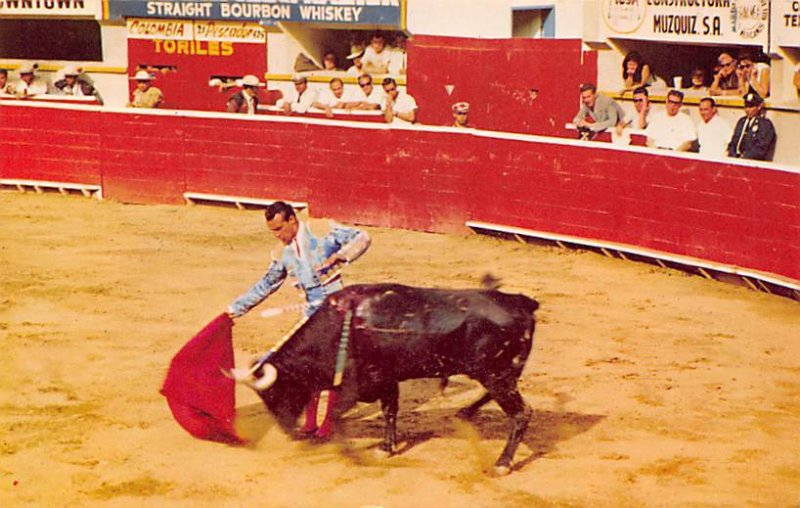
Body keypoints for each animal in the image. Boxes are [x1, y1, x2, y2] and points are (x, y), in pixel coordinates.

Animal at [252, 284, 536, 474]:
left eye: (276, 391)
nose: (287, 431)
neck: (337, 327)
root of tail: (522, 303)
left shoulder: (358, 385)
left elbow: (337, 415)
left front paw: (353, 456)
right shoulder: (387, 380)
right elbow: (390, 411)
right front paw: (385, 448)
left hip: (497, 375)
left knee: (521, 413)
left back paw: (502, 463)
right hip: (496, 374)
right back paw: (464, 413)